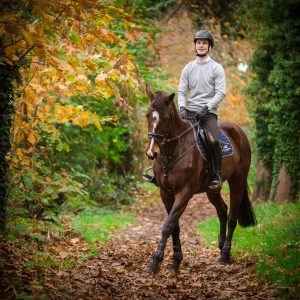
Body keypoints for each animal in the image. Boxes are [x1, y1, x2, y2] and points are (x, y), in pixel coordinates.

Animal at [144, 85, 256, 274]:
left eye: (166, 118)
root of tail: (239, 132)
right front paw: (175, 261)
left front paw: (155, 262)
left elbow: (168, 226)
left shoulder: (184, 193)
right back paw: (221, 245)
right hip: (211, 189)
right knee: (222, 210)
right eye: (147, 115)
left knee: (232, 217)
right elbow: (175, 227)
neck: (172, 152)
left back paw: (224, 255)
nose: (152, 153)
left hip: (237, 181)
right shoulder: (165, 193)